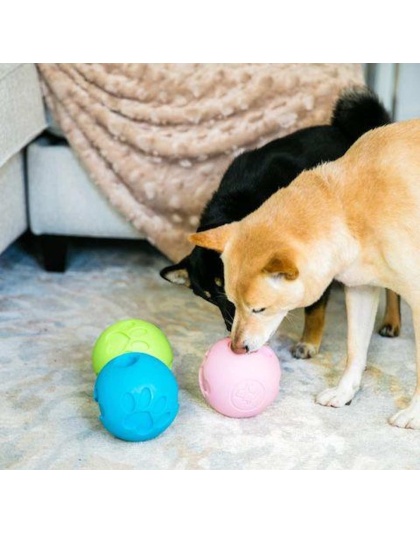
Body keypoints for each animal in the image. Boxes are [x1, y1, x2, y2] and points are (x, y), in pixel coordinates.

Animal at [159, 86, 398, 358]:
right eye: (209, 297)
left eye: (225, 289)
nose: (230, 328)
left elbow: (314, 309)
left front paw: (309, 342)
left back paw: (392, 321)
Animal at [190, 119, 420, 430]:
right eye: (231, 303)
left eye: (259, 309)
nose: (236, 348)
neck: (349, 207)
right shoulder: (360, 289)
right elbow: (355, 349)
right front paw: (344, 392)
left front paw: (414, 413)